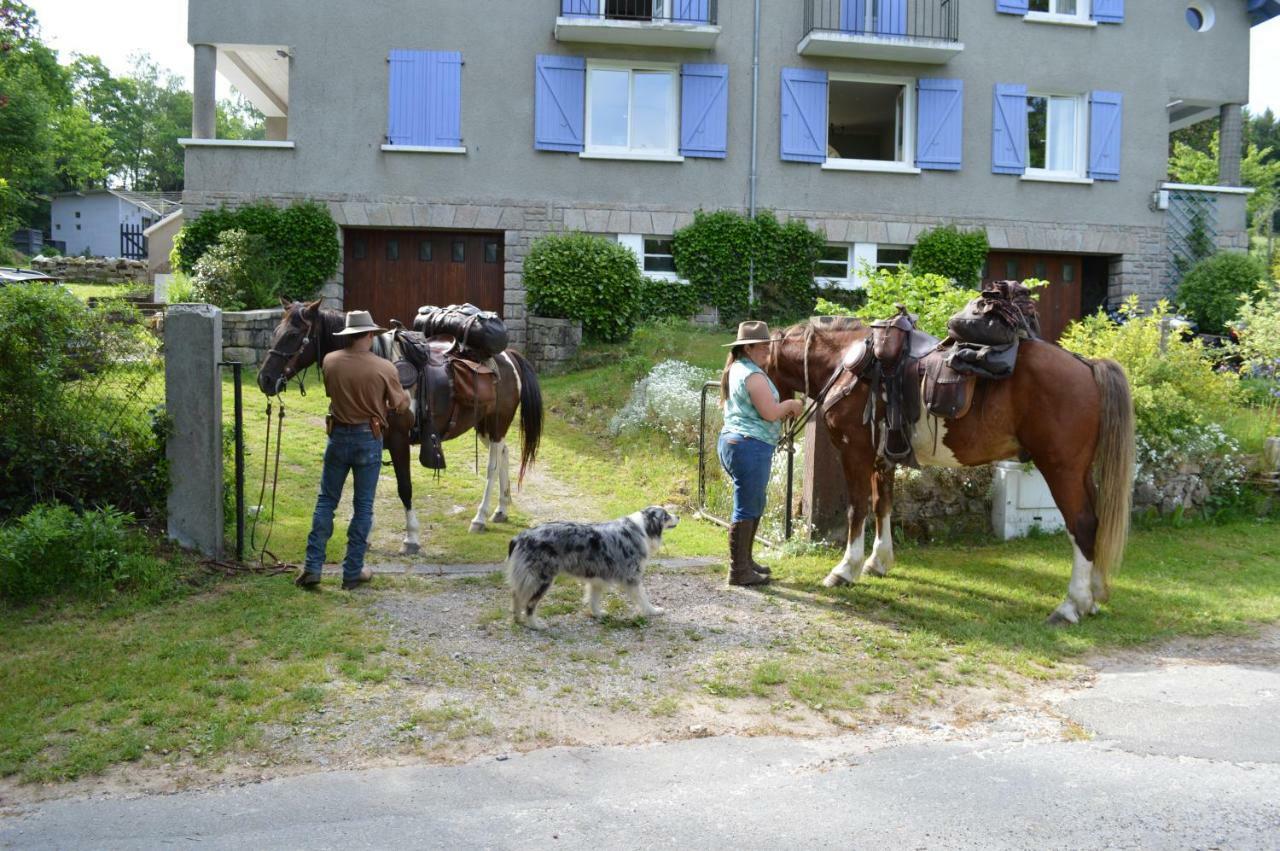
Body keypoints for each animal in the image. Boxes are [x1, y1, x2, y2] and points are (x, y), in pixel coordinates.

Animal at [257, 302, 542, 555]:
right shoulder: (374, 439)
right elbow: (366, 488)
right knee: (504, 454)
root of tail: (508, 357)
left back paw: (480, 517)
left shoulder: (397, 440)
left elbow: (404, 487)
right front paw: (366, 537)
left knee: (492, 466)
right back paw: (501, 509)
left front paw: (411, 539)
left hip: (496, 424)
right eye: (275, 332)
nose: (265, 380)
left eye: (294, 335)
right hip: (484, 427)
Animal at [504, 504, 680, 629]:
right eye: (666, 515)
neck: (642, 528)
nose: (678, 516)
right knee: (529, 604)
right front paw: (653, 611)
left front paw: (598, 614)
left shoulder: (597, 577)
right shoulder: (632, 577)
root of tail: (521, 536)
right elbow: (643, 598)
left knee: (515, 595)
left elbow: (594, 599)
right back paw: (535, 625)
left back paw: (517, 619)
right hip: (541, 579)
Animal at [762, 318, 1136, 624]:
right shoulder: (883, 457)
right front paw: (878, 562)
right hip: (1082, 473)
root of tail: (1088, 366)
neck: (847, 364)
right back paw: (1092, 598)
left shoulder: (855, 453)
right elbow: (883, 505)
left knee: (1082, 526)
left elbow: (858, 509)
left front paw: (845, 570)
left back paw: (1071, 605)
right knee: (1096, 524)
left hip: (1062, 470)